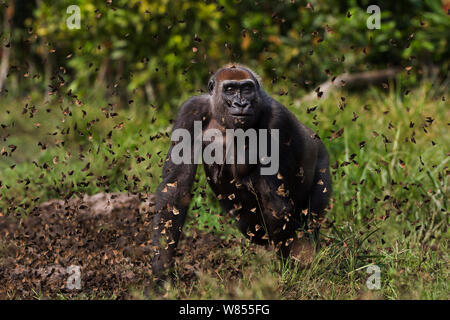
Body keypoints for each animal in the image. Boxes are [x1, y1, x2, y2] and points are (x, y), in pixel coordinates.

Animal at [151, 64, 330, 278]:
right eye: (229, 89)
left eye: (246, 89)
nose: (241, 103)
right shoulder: (191, 111)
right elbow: (175, 189)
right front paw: (160, 271)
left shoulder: (275, 119)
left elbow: (277, 205)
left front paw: (291, 267)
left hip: (322, 161)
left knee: (310, 218)